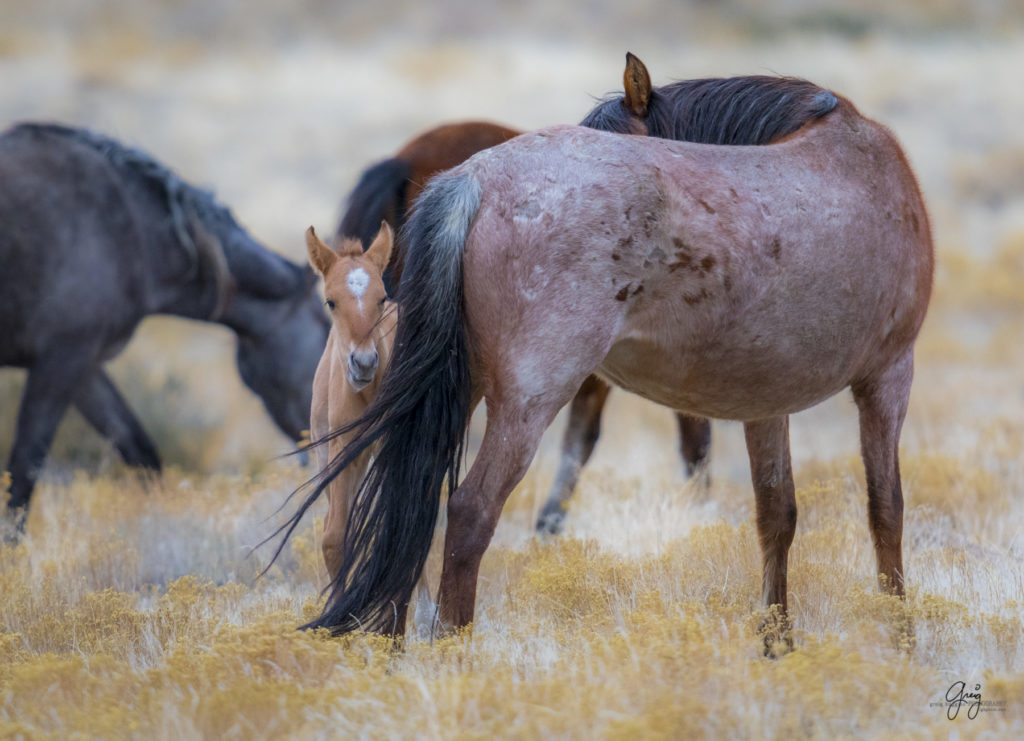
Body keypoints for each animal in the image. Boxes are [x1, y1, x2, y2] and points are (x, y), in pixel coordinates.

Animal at [0, 122, 327, 532]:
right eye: (328, 329)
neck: (134, 231)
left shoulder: (85, 364)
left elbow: (141, 453)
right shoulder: (61, 359)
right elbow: (23, 474)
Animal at [290, 80, 937, 638]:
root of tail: (473, 180)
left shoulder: (765, 401)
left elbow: (777, 516)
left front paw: (778, 647)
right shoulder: (889, 375)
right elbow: (886, 510)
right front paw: (900, 639)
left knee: (409, 504)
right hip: (529, 399)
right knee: (471, 513)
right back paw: (455, 650)